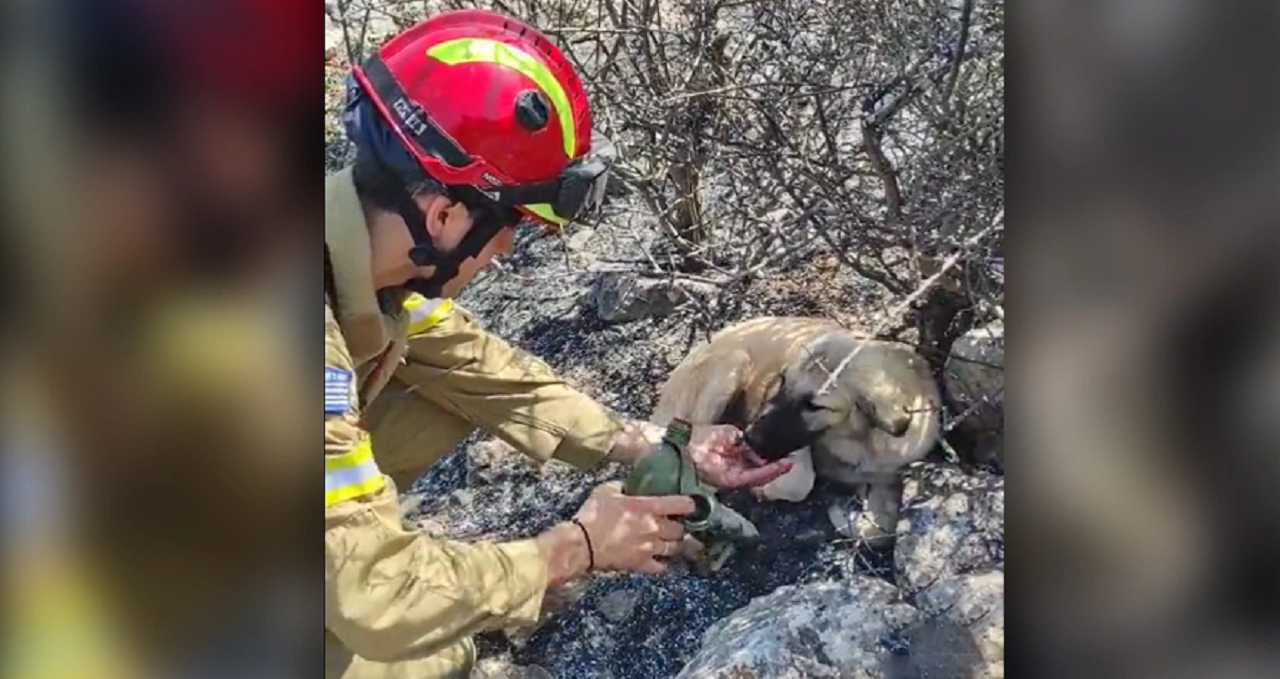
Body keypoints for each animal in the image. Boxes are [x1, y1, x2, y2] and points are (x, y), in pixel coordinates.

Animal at [650, 313, 942, 540]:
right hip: (733, 363)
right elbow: (802, 480)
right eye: (782, 379)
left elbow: (883, 527)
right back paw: (730, 521)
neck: (860, 440)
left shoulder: (889, 474)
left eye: (814, 405)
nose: (750, 439)